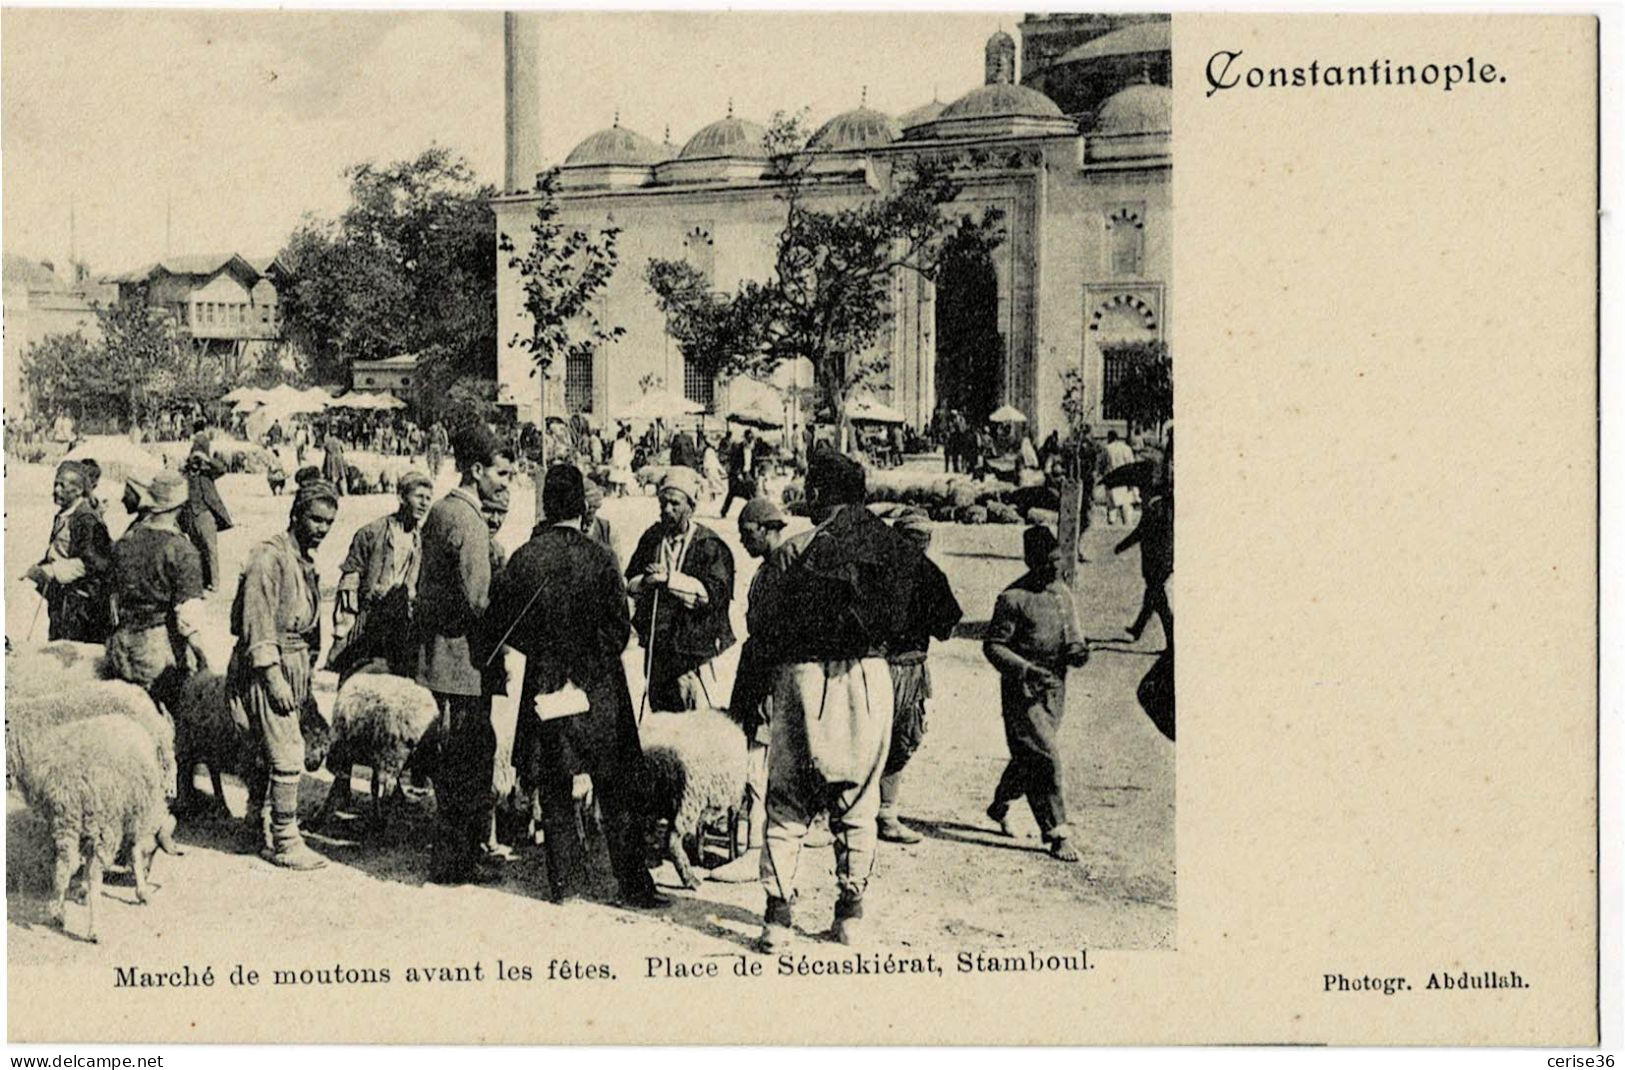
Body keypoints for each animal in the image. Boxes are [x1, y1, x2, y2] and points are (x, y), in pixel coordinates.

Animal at [13, 712, 184, 936]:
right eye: (154, 851)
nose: (149, 874)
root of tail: (69, 780)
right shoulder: (131, 822)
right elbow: (134, 854)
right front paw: (142, 891)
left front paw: (81, 891)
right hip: (102, 821)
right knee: (94, 872)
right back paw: (95, 930)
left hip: (64, 821)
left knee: (64, 864)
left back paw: (58, 914)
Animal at [310, 669, 435, 829]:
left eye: (313, 743)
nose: (309, 765)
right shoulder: (375, 757)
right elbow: (373, 786)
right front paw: (375, 812)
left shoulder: (349, 753)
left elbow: (339, 784)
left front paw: (319, 816)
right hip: (393, 757)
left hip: (393, 755)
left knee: (389, 788)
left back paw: (384, 819)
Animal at [640, 708, 754, 884]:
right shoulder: (734, 799)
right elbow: (732, 828)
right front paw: (733, 856)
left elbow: (701, 827)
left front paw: (700, 856)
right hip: (688, 798)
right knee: (672, 841)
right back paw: (690, 880)